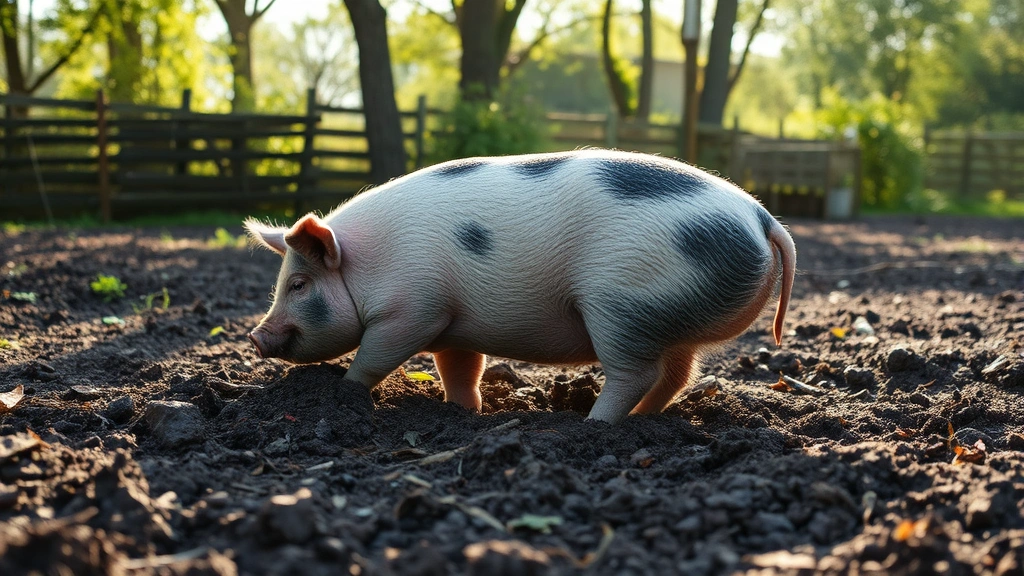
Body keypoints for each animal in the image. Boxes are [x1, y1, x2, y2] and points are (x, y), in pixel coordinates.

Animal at [245, 149, 795, 424]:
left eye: (299, 284)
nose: (255, 335)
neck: (367, 264)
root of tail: (763, 217)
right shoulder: (454, 324)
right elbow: (460, 369)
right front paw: (463, 412)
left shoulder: (414, 310)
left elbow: (374, 357)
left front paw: (346, 392)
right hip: (668, 315)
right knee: (675, 375)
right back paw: (642, 420)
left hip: (620, 303)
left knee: (635, 374)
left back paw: (593, 424)